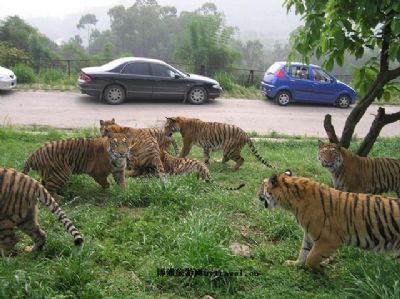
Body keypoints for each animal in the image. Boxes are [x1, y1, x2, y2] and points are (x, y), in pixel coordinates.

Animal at [258, 170, 400, 274]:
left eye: (261, 186)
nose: (256, 192)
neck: (291, 202)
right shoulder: (309, 235)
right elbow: (304, 251)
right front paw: (295, 264)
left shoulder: (330, 240)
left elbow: (311, 257)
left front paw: (320, 268)